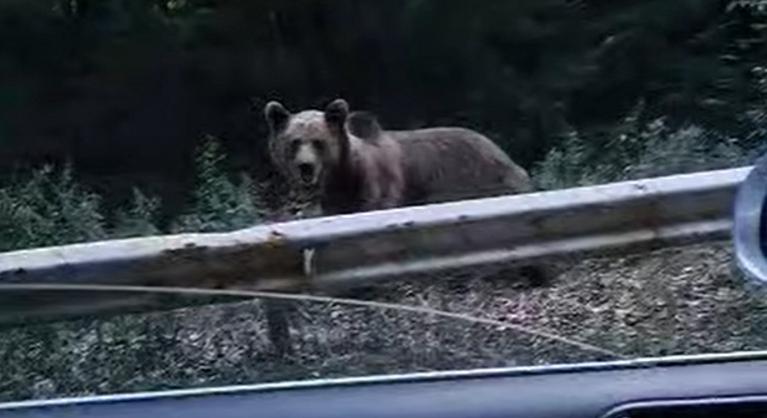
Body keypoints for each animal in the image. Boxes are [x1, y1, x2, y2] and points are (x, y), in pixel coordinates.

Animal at [264, 99, 536, 216]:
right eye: (294, 142)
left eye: (318, 142)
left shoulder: (380, 188)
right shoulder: (335, 203)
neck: (344, 176)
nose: (305, 166)